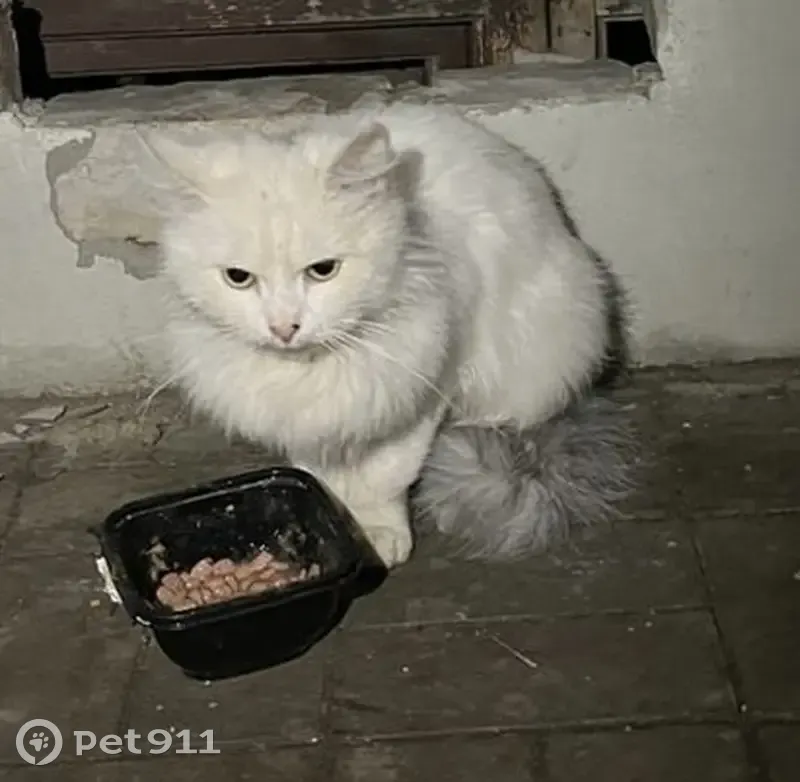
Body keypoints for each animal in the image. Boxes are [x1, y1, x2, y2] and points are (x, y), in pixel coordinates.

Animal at [145, 103, 637, 567]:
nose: (284, 328)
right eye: (238, 278)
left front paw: (377, 532)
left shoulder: (422, 391)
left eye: (323, 271)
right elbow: (321, 476)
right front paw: (339, 519)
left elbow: (387, 474)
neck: (312, 368)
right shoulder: (307, 419)